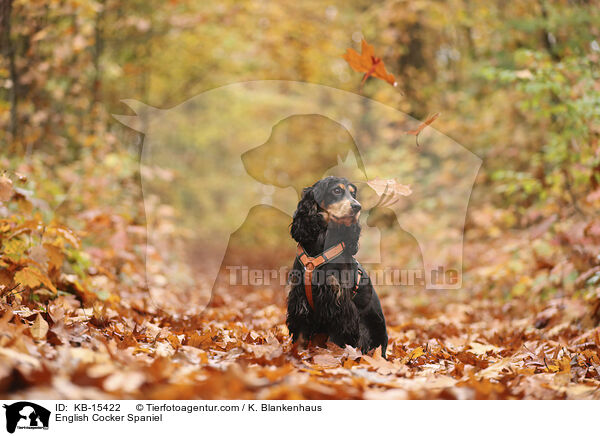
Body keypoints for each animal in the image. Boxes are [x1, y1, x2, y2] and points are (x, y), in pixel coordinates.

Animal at [288, 175, 390, 356]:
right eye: (336, 190)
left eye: (353, 193)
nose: (357, 206)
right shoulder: (299, 298)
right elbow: (300, 332)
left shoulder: (339, 302)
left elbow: (336, 337)